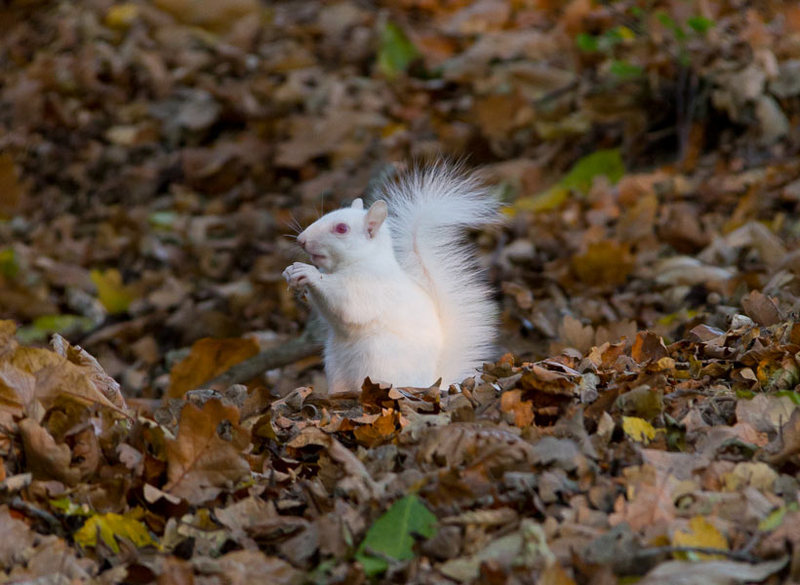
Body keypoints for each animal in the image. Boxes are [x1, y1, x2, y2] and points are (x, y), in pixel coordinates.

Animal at [282, 164, 500, 392]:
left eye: (341, 228)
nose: (301, 240)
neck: (359, 261)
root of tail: (433, 383)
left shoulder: (370, 287)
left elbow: (346, 303)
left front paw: (309, 273)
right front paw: (292, 273)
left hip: (377, 361)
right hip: (336, 366)